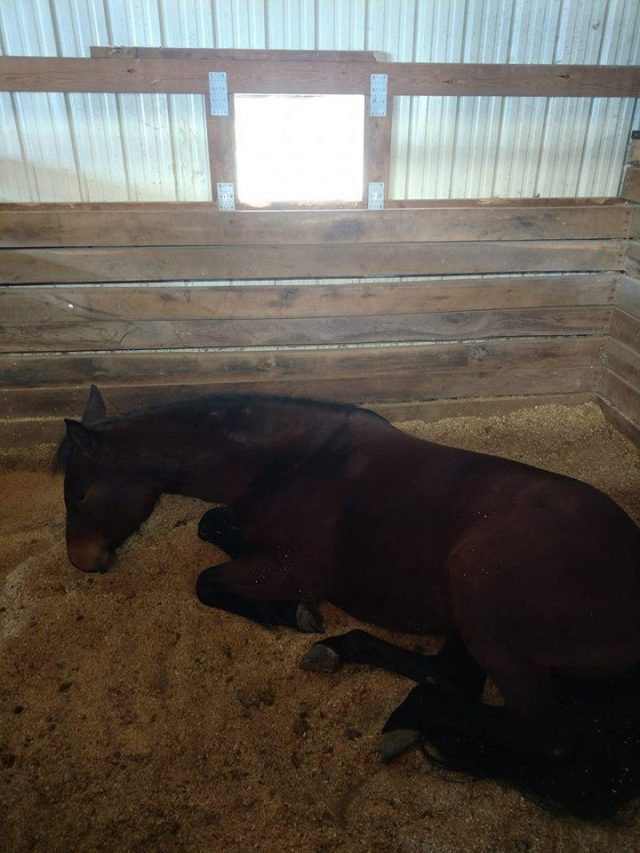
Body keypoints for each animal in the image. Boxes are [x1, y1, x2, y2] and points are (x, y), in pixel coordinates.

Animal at [55, 385, 640, 802]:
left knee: (547, 735)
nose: (82, 561)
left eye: (78, 493)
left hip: (484, 604)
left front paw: (290, 615)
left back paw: (403, 715)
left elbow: (206, 582)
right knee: (447, 674)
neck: (290, 460)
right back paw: (345, 657)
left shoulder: (292, 568)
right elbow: (209, 526)